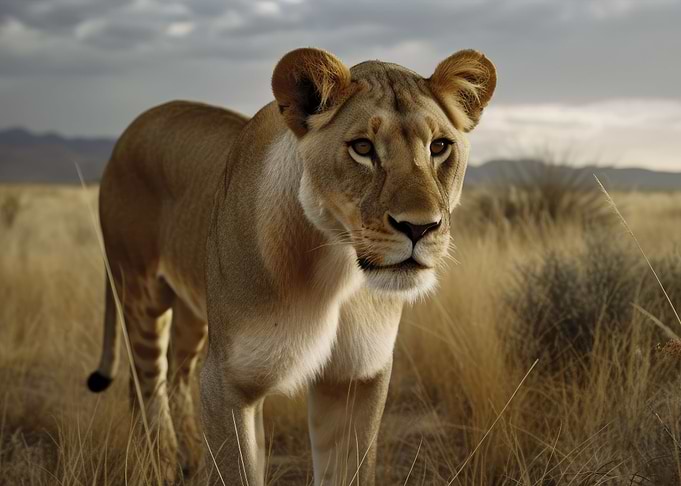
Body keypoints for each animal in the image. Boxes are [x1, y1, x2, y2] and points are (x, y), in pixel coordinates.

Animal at [87, 47, 496, 485]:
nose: (419, 227)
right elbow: (236, 470)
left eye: (439, 146)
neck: (338, 270)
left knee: (177, 375)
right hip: (139, 291)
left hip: (192, 315)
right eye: (362, 148)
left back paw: (190, 460)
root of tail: (132, 127)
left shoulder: (357, 378)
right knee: (145, 383)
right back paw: (161, 464)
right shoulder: (228, 382)